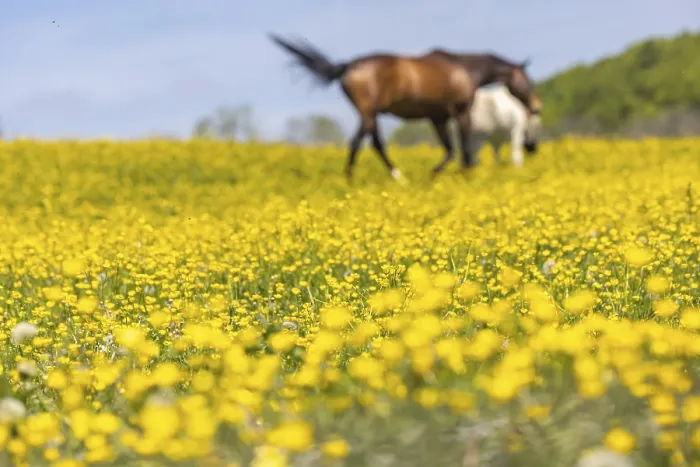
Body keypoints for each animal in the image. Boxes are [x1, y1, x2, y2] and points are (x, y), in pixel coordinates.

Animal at [269, 34, 542, 183]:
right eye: (527, 80)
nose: (536, 107)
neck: (465, 70)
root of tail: (349, 66)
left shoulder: (437, 117)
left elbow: (449, 149)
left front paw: (434, 176)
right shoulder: (460, 111)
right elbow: (463, 150)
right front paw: (465, 176)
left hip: (370, 113)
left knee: (370, 142)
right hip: (369, 112)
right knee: (366, 143)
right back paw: (386, 178)